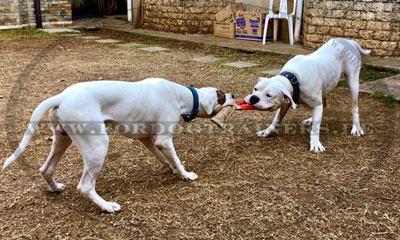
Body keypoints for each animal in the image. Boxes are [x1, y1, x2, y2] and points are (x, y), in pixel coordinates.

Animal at [2, 79, 234, 212]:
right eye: (221, 95)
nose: (233, 94)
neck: (182, 95)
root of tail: (61, 96)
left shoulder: (147, 139)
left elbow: (163, 157)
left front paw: (171, 169)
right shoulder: (164, 140)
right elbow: (177, 159)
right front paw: (186, 174)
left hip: (62, 139)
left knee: (46, 169)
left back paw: (56, 188)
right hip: (97, 146)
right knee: (85, 186)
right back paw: (107, 206)